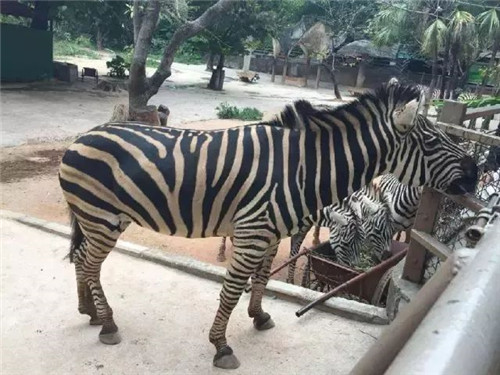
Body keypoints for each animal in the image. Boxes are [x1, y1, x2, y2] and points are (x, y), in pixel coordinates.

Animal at [286, 175, 422, 284]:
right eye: (377, 230)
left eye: (391, 232)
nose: (388, 257)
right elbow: (293, 252)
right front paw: (290, 281)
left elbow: (294, 253)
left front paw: (290, 280)